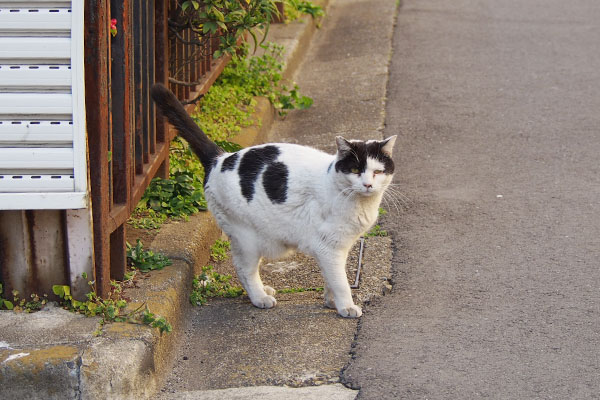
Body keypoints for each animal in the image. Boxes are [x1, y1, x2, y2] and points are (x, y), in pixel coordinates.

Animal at [150, 84, 396, 318]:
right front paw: (346, 306)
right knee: (243, 268)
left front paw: (333, 301)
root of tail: (220, 158)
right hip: (247, 237)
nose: (367, 184)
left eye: (377, 171)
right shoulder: (328, 248)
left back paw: (262, 290)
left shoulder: (340, 247)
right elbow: (341, 281)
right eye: (355, 170)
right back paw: (260, 297)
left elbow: (332, 279)